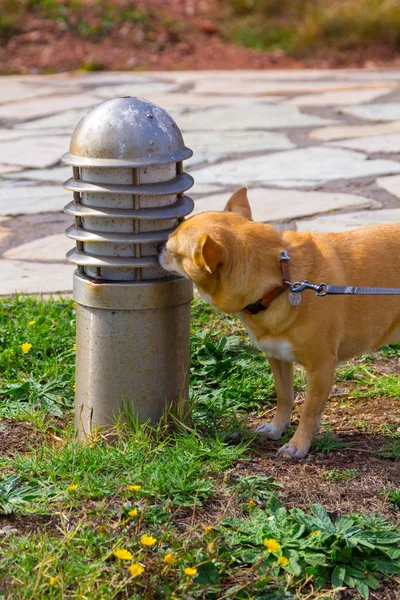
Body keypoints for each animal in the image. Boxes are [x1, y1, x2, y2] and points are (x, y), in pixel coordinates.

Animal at [158, 189, 398, 460]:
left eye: (172, 251)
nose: (157, 247)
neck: (283, 282)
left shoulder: (322, 367)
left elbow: (309, 411)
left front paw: (297, 444)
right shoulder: (278, 358)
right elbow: (285, 397)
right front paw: (277, 427)